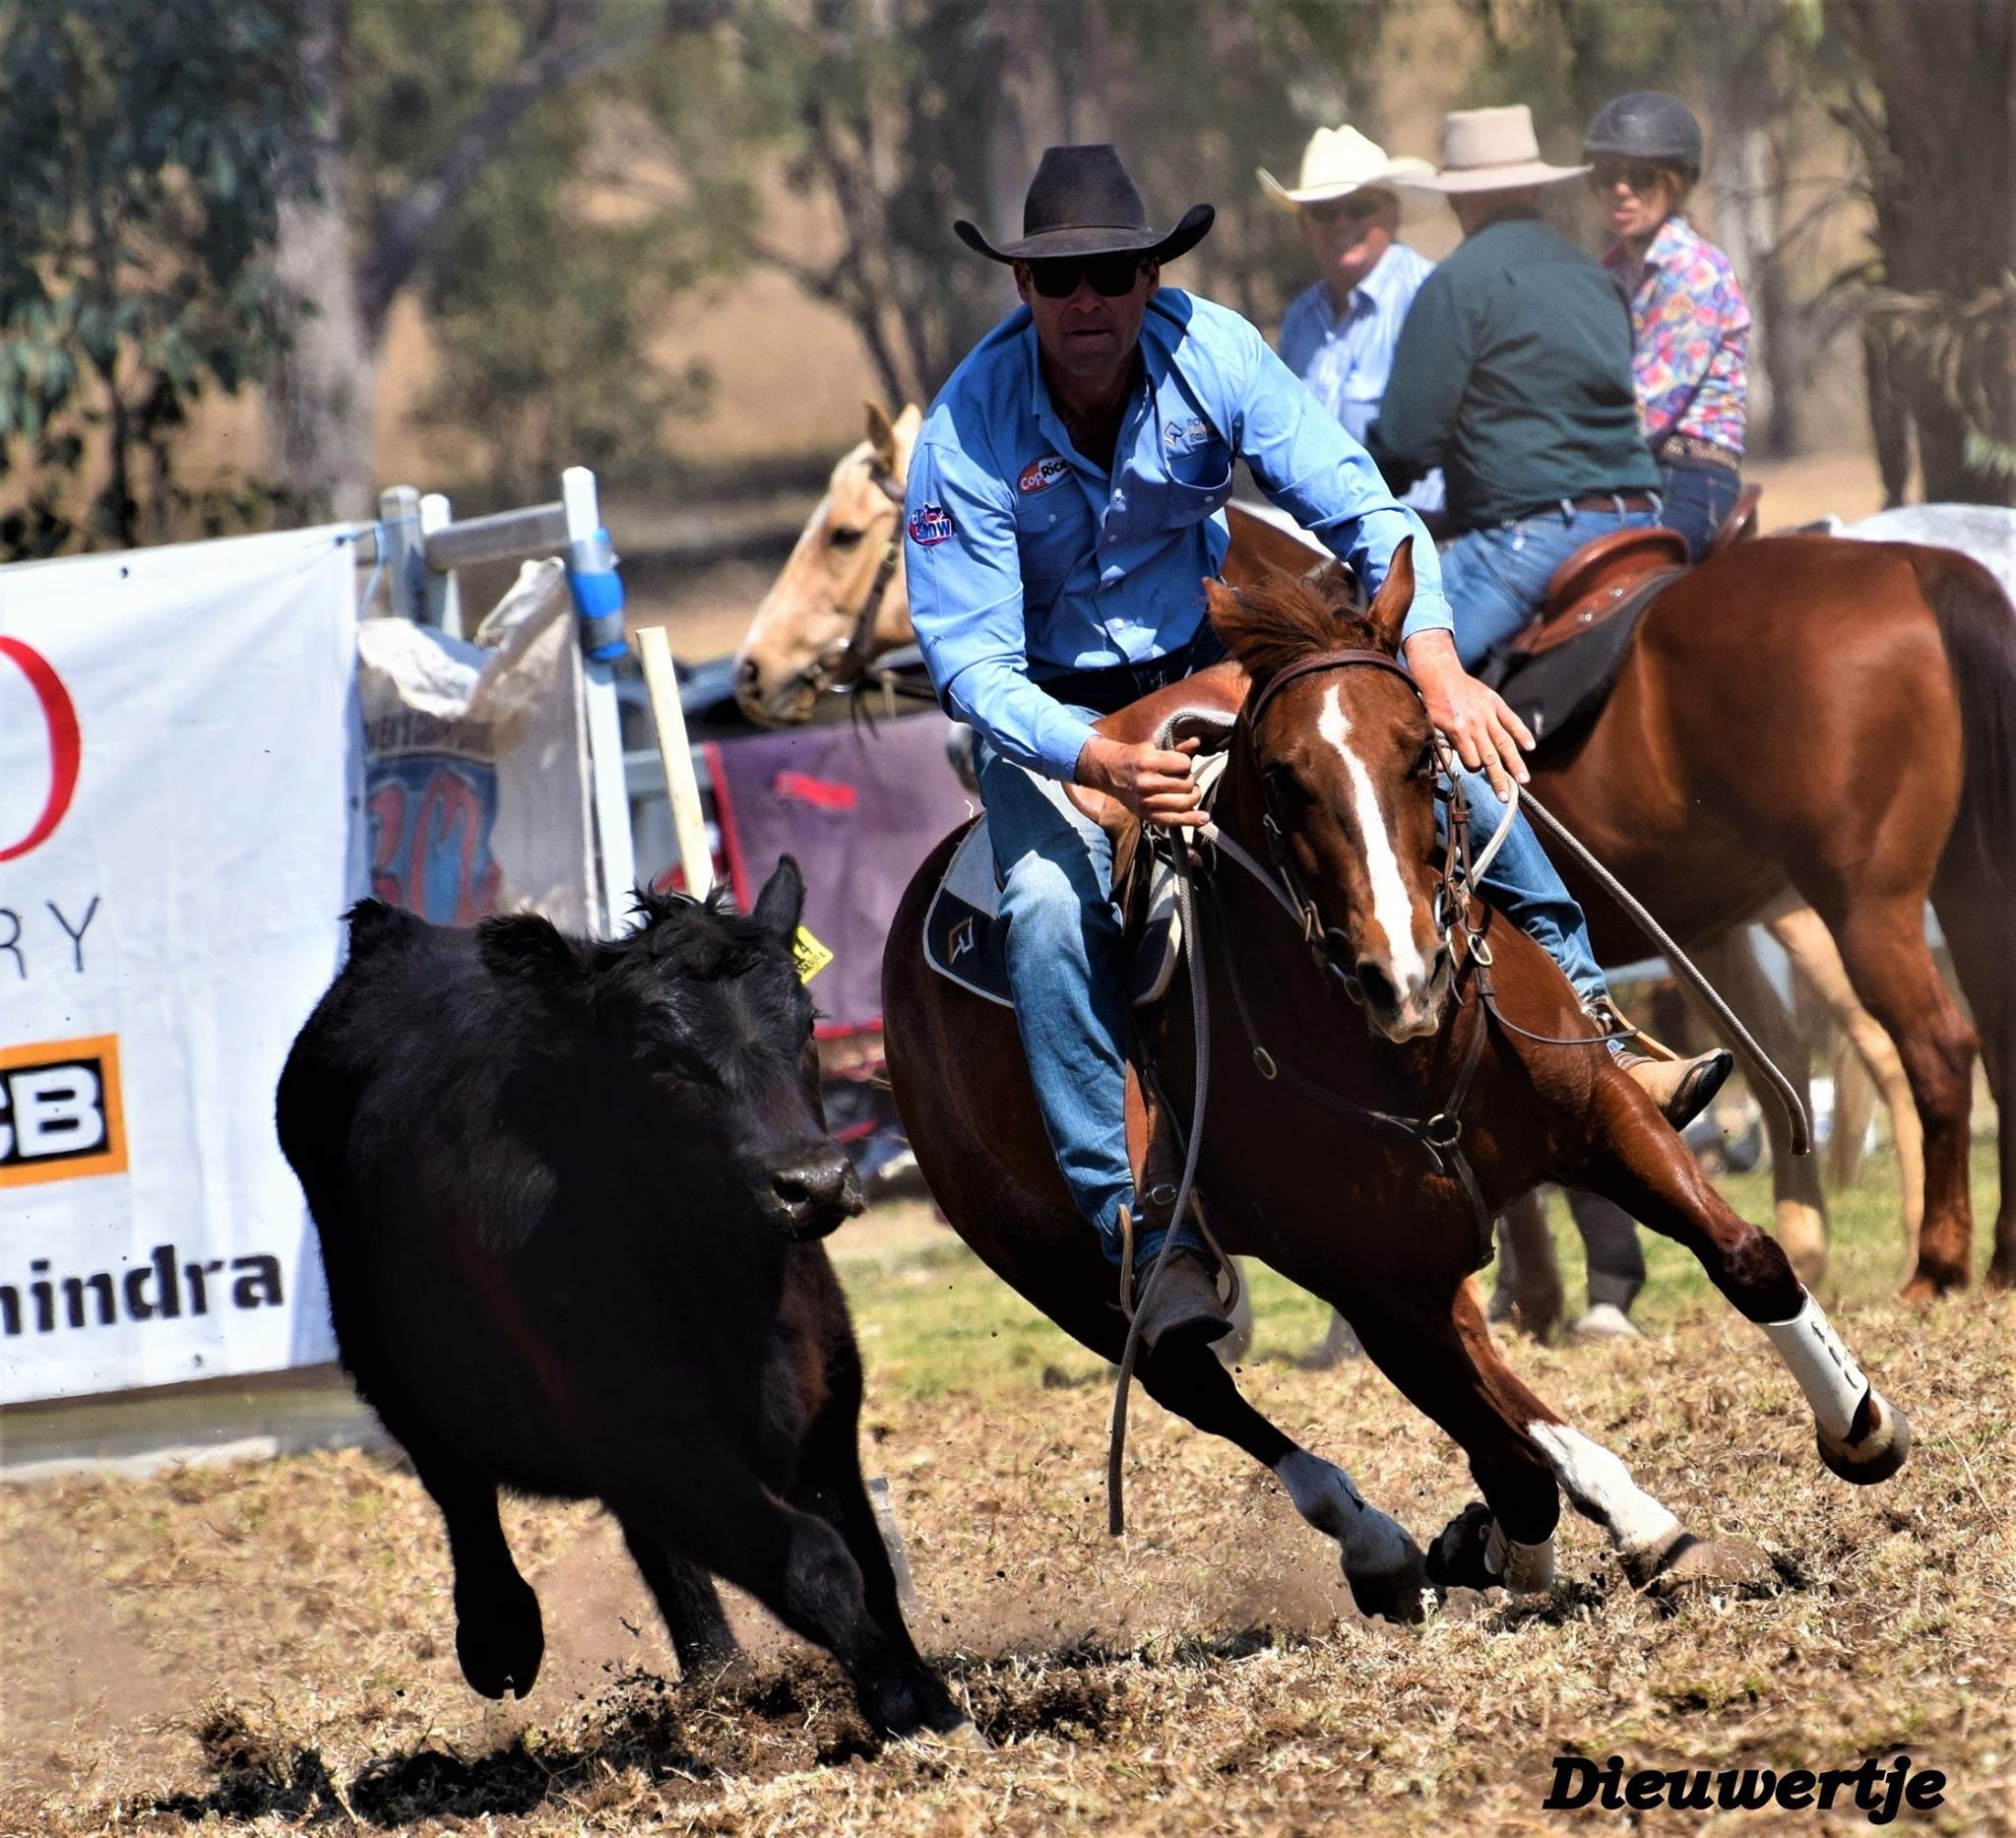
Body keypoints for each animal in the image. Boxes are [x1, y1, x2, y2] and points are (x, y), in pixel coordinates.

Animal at [274, 858, 971, 1743]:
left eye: (809, 1022)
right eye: (658, 1056)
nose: (812, 1182)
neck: (730, 1290)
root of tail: (394, 937)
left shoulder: (824, 1415)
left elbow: (872, 1562)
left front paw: (925, 1686)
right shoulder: (654, 1440)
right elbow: (817, 1562)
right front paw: (904, 1701)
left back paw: (717, 1670)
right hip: (390, 1358)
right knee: (457, 1487)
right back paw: (501, 1633)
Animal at [882, 557, 1911, 1616]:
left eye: (1423, 752)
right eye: (1283, 780)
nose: (1405, 973)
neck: (1404, 1056)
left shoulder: (1603, 1118)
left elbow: (1745, 1259)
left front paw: (1858, 1428)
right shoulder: (1366, 1278)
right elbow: (1499, 1445)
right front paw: (1486, 1540)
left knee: (1489, 1379)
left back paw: (1623, 1521)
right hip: (1063, 1273)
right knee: (1202, 1385)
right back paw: (1382, 1542)